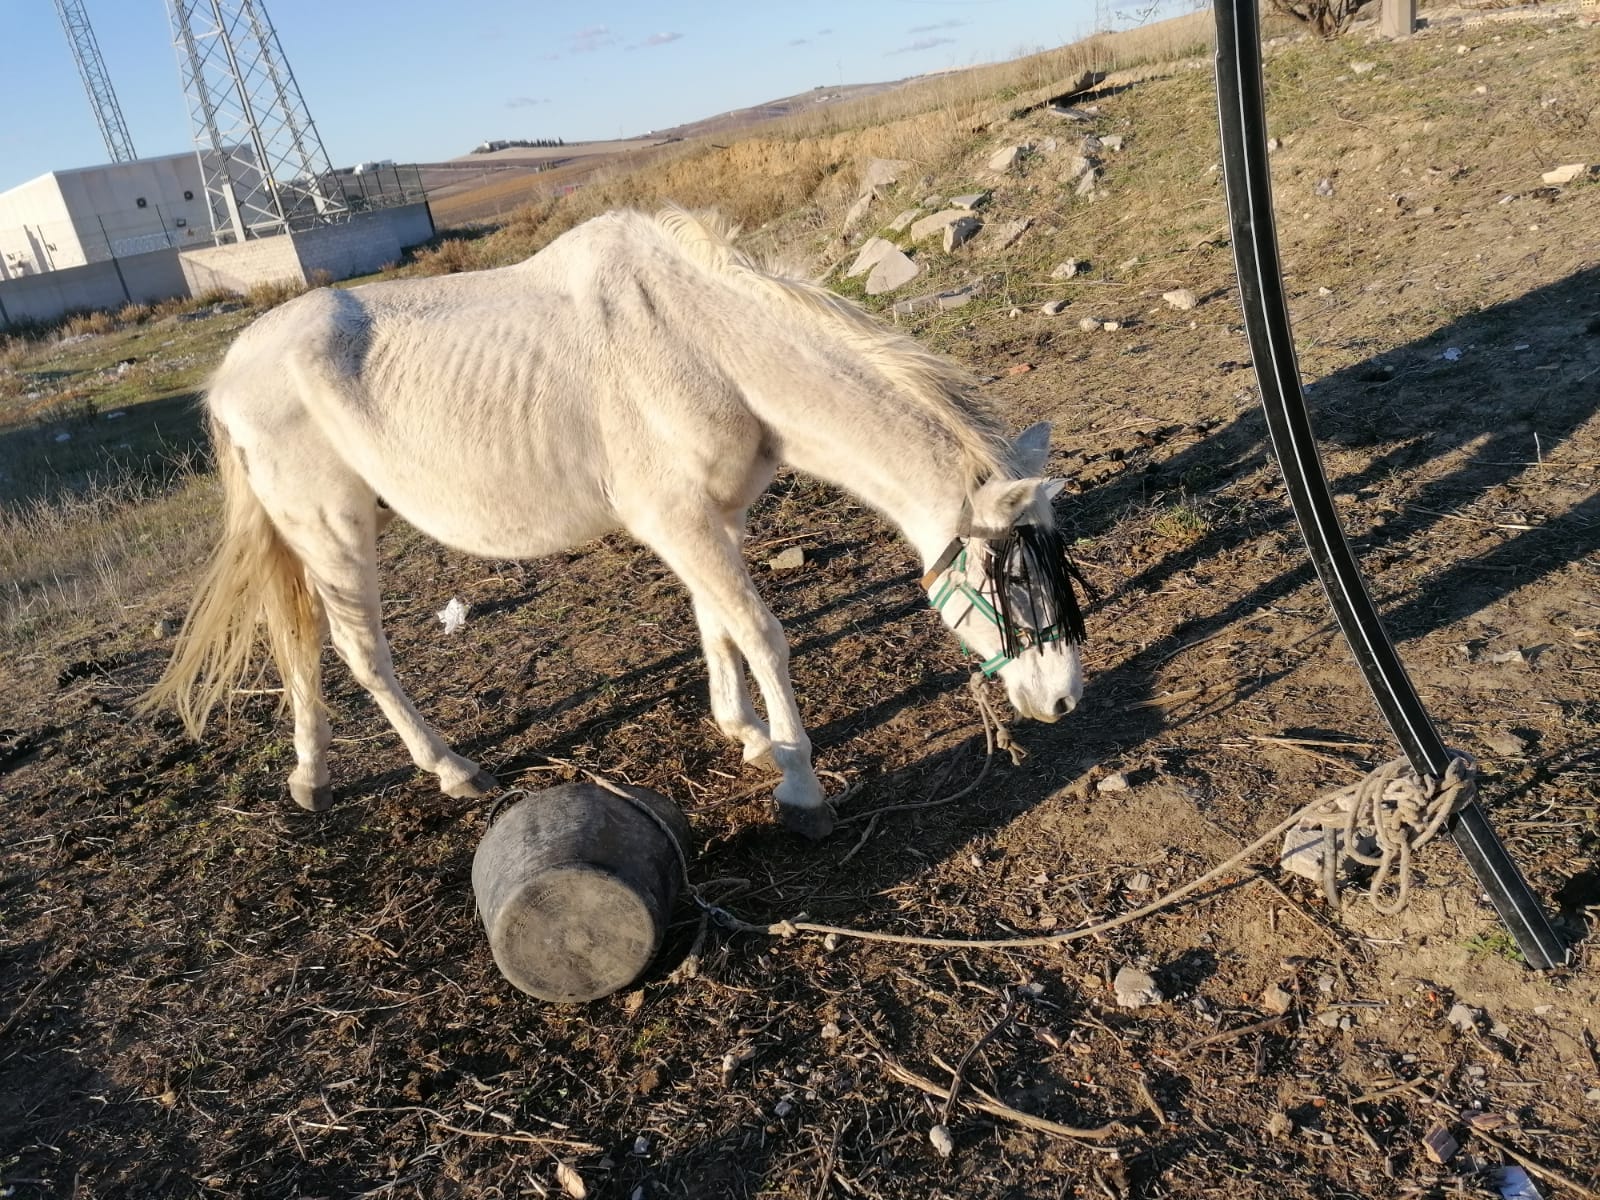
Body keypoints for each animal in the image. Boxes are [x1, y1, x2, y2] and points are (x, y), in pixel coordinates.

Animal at [143, 207, 1089, 840]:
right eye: (1007, 576)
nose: (1064, 698)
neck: (706, 345)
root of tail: (230, 372)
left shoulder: (710, 520)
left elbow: (717, 627)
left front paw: (746, 736)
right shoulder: (678, 520)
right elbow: (763, 634)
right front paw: (800, 785)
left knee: (300, 648)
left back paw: (312, 777)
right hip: (332, 527)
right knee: (356, 649)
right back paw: (451, 771)